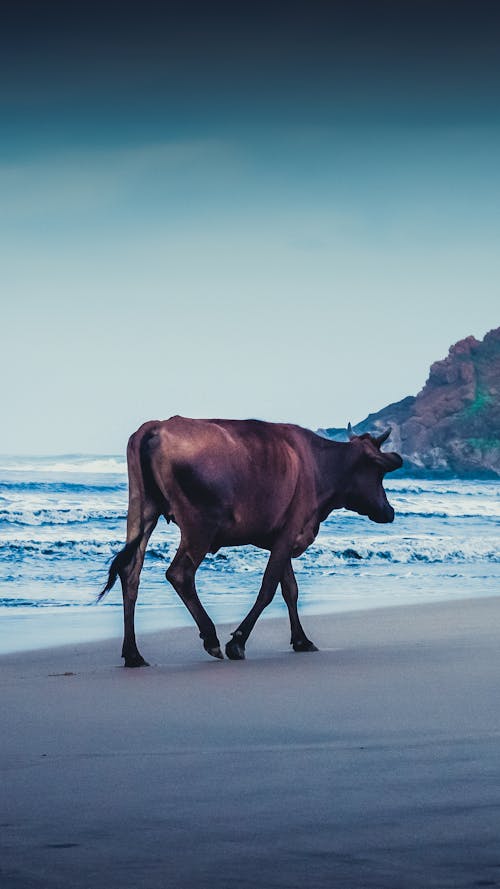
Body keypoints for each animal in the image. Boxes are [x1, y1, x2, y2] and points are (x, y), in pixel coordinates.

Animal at [99, 416, 404, 664]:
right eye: (379, 473)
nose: (389, 511)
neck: (320, 467)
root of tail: (157, 425)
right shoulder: (289, 533)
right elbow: (269, 588)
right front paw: (238, 642)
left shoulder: (282, 537)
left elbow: (290, 589)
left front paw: (302, 640)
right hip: (199, 526)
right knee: (179, 574)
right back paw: (211, 638)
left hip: (141, 511)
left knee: (130, 573)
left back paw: (133, 654)